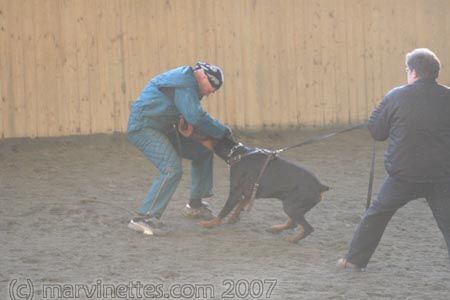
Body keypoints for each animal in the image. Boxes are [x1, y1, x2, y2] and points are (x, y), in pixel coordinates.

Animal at [199, 135, 328, 243]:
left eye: (206, 135)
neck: (237, 154)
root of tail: (320, 186)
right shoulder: (249, 193)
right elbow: (239, 206)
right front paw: (233, 219)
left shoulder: (235, 192)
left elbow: (224, 210)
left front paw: (210, 224)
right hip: (295, 207)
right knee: (294, 224)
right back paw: (276, 229)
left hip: (291, 206)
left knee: (308, 228)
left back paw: (291, 240)